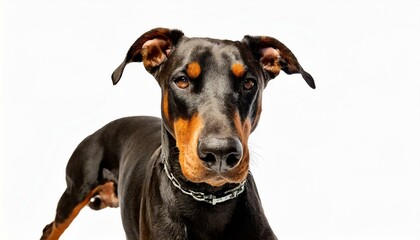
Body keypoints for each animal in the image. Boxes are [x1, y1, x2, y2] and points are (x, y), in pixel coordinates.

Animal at [40, 27, 316, 239]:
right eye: (182, 80)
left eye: (249, 83)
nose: (220, 153)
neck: (208, 199)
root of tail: (99, 130)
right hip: (75, 191)